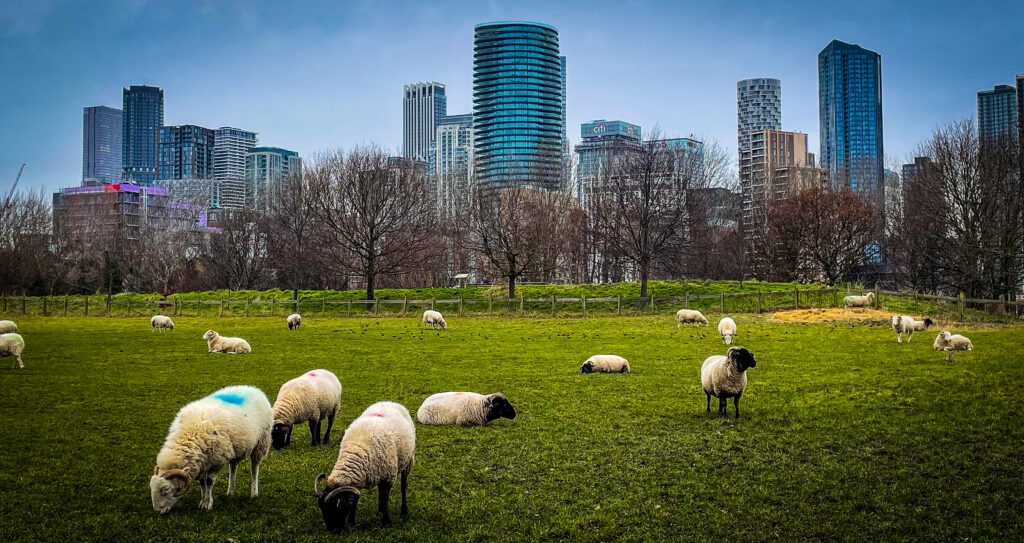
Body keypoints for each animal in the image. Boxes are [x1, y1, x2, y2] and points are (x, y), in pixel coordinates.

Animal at [150, 385, 273, 513]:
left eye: (165, 489)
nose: (157, 511)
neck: (190, 436)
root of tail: (253, 388)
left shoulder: (217, 460)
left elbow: (209, 481)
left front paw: (207, 505)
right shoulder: (203, 462)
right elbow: (202, 483)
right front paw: (202, 502)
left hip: (261, 442)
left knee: (254, 467)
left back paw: (254, 492)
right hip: (235, 447)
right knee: (233, 466)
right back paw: (231, 491)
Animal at [313, 401, 415, 531]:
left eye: (336, 508)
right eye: (322, 509)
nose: (333, 530)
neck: (356, 450)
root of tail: (389, 402)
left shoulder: (388, 478)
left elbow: (386, 500)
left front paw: (386, 522)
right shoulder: (358, 480)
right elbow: (355, 501)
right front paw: (352, 522)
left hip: (409, 460)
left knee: (403, 486)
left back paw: (404, 510)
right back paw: (379, 511)